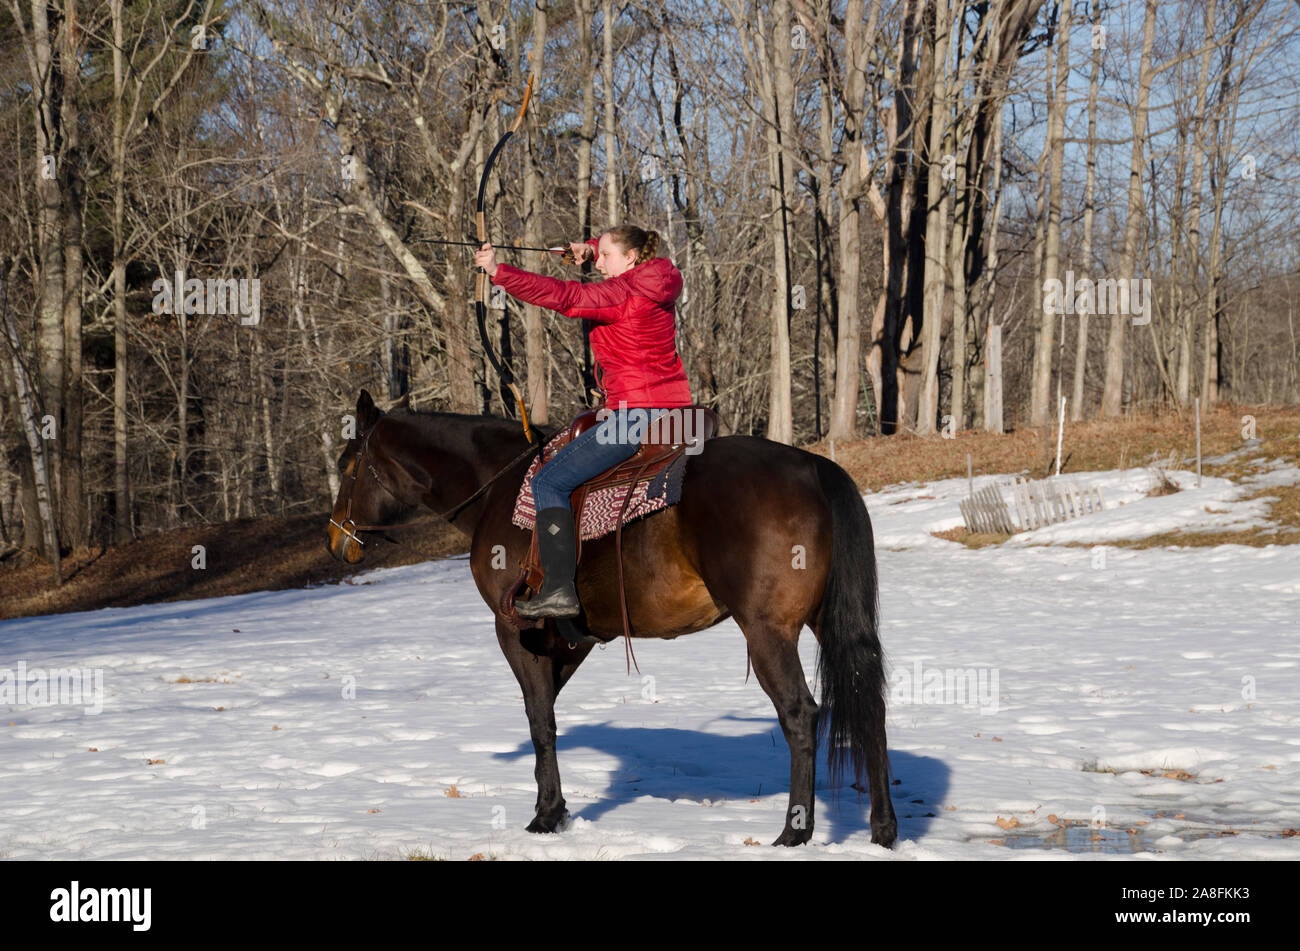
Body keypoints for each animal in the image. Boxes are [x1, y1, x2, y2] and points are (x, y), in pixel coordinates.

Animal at [326, 390, 896, 848]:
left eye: (347, 465)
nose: (335, 541)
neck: (498, 488)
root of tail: (812, 468)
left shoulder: (516, 632)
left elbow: (540, 721)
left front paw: (546, 817)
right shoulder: (572, 640)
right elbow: (548, 714)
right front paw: (555, 810)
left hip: (766, 633)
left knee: (801, 714)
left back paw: (794, 832)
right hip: (827, 624)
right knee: (869, 706)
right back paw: (883, 828)